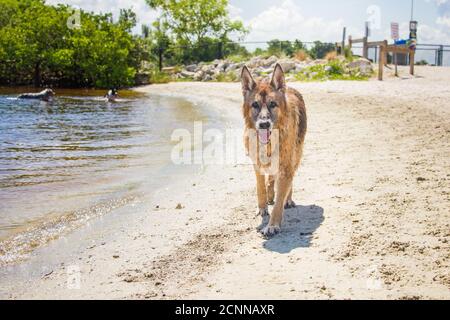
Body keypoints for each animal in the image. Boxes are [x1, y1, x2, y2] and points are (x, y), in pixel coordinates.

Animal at [241, 63, 308, 238]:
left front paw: (272, 225)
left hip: (296, 156)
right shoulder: (257, 164)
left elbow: (279, 201)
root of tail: (288, 87)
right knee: (270, 179)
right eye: (255, 105)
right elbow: (260, 187)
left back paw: (287, 199)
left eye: (273, 104)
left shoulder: (285, 167)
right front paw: (263, 207)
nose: (264, 124)